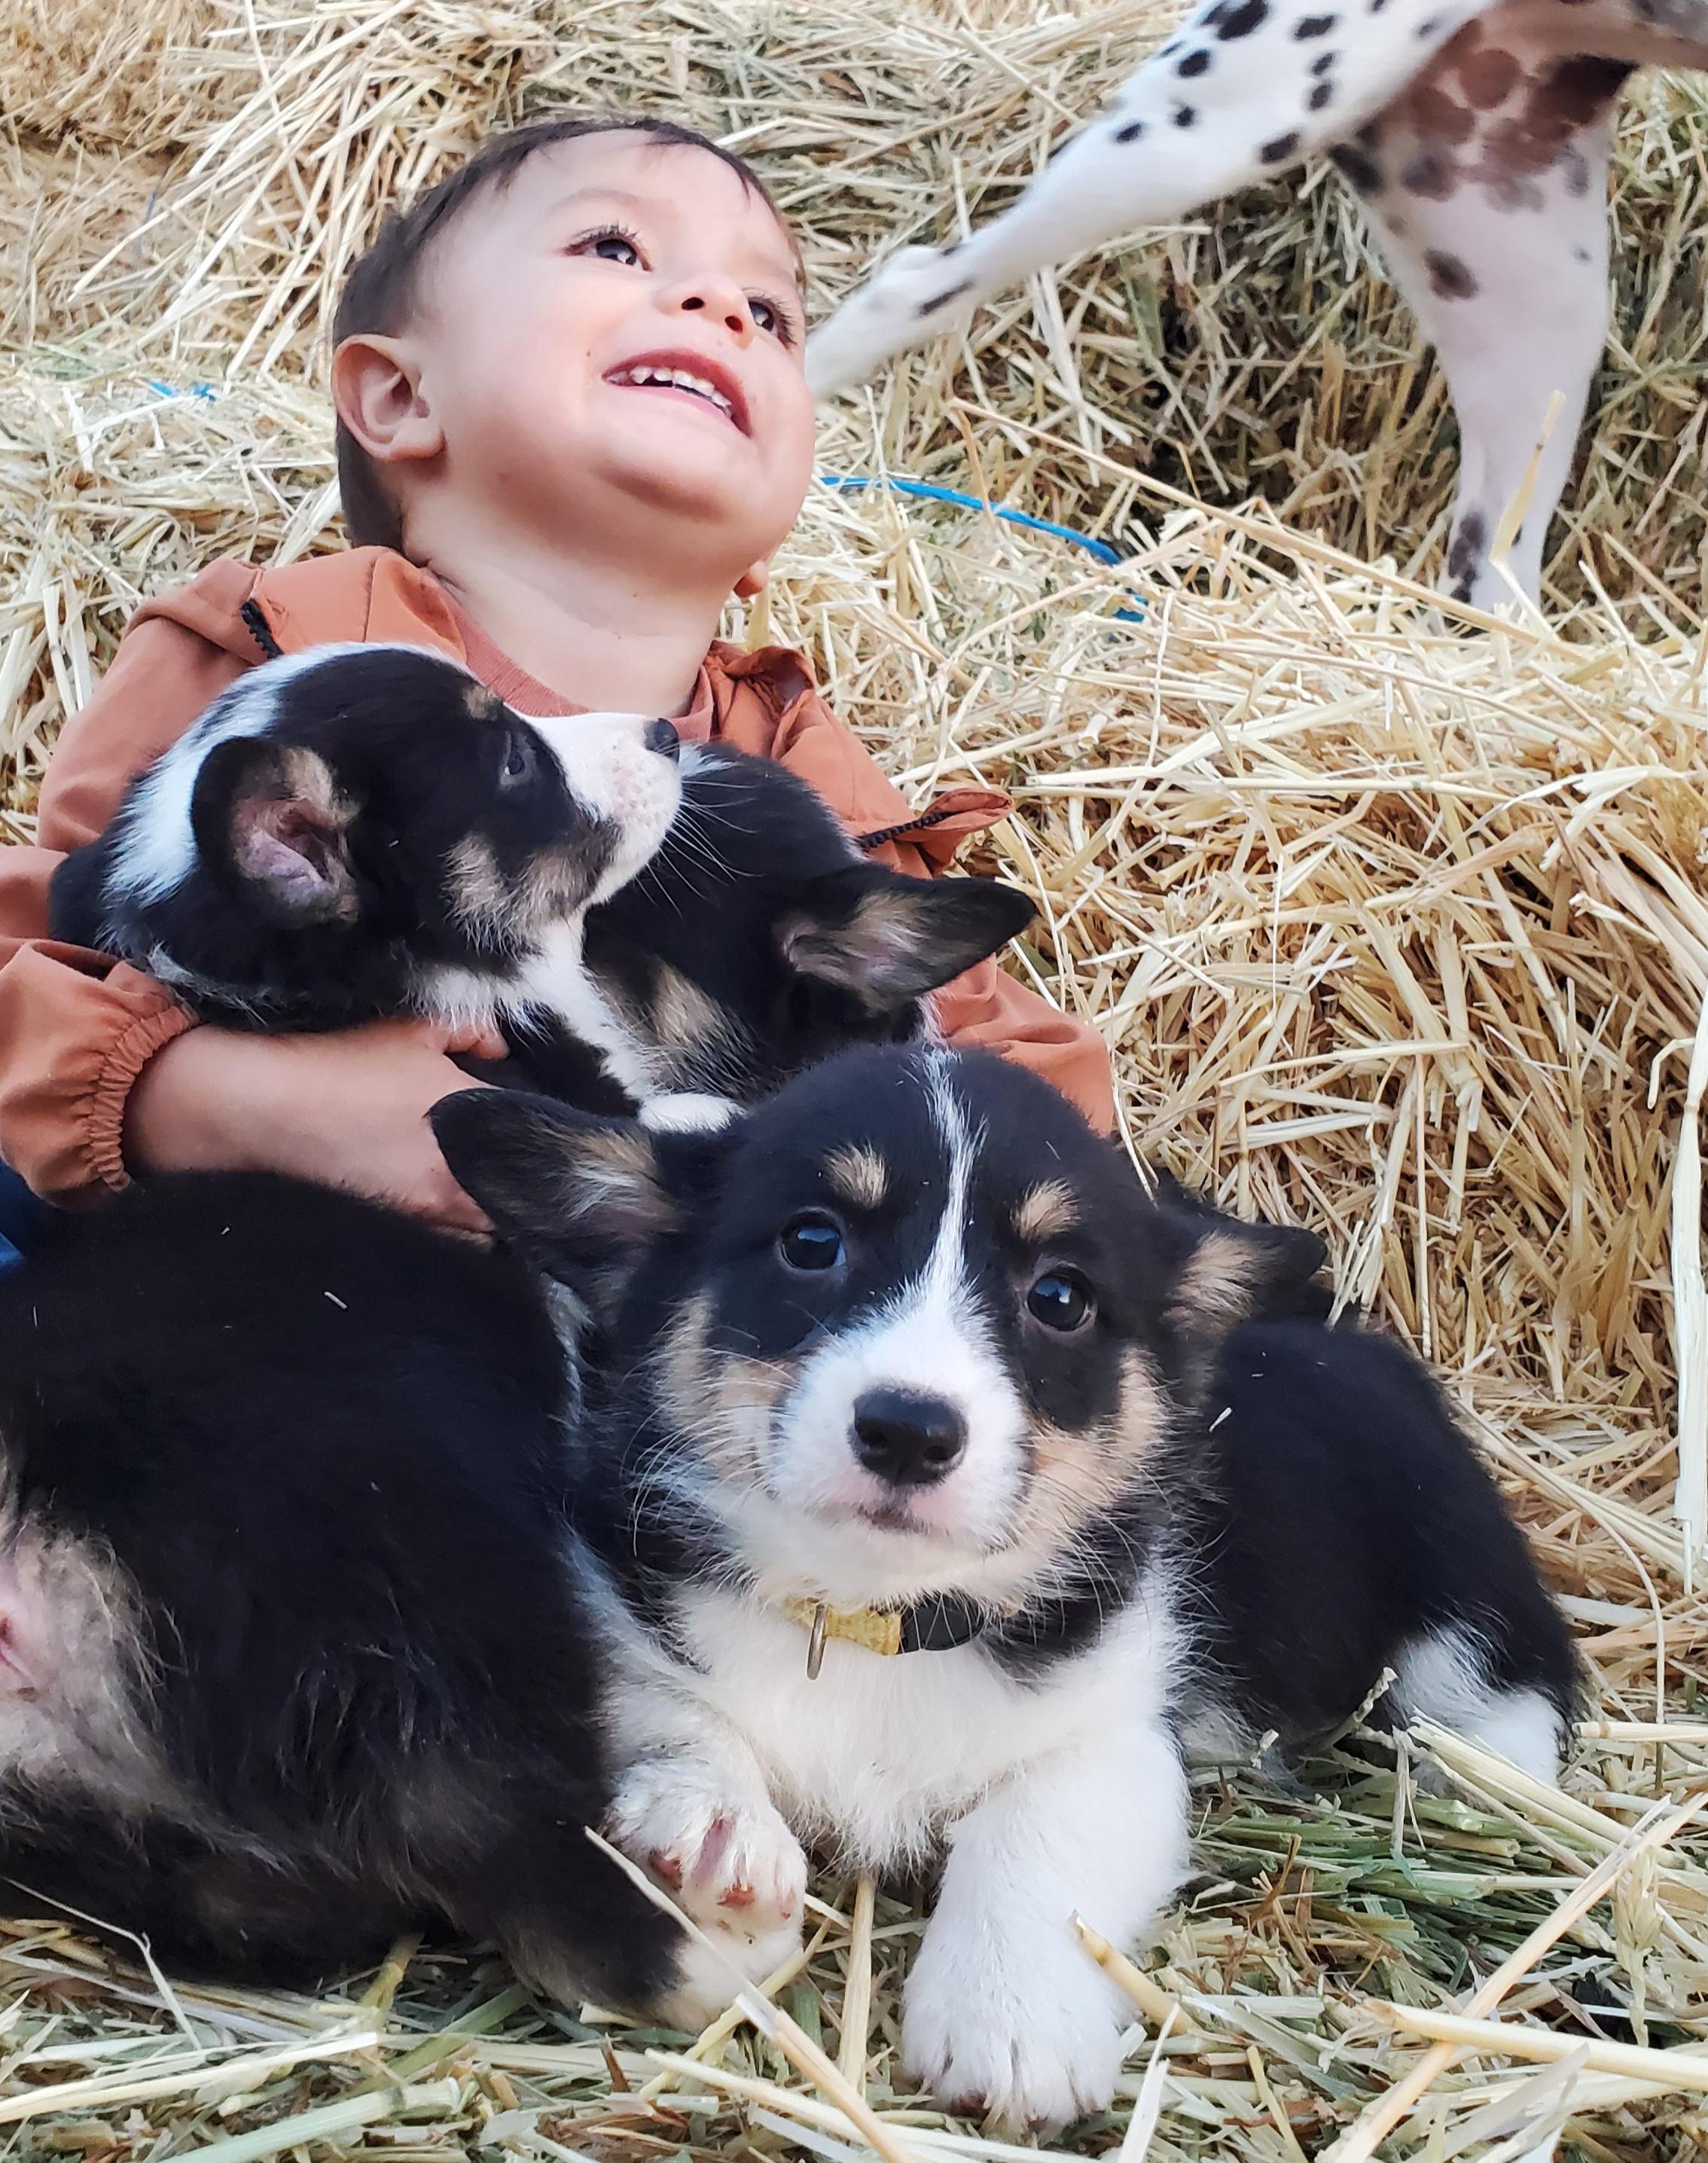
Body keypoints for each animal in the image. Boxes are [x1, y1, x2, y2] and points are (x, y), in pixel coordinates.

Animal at [433, 1043, 1577, 2129]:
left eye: (1060, 1298)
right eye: (812, 1243)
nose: (908, 1429)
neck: (875, 1617)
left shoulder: (1113, 1740)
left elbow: (1034, 1832)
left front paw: (1010, 2026)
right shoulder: (625, 1617)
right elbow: (675, 1712)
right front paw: (713, 1828)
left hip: (1457, 1562)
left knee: (1505, 1682)